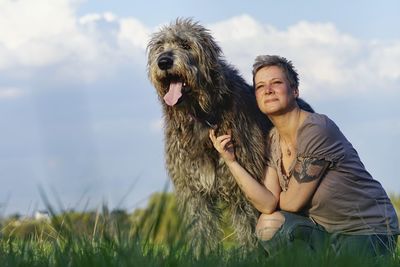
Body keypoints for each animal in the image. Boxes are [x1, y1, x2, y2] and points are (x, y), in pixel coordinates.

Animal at [147, 18, 312, 251]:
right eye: (160, 46)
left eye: (186, 45)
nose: (163, 61)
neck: (202, 115)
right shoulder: (194, 190)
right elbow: (201, 226)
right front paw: (204, 254)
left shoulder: (242, 187)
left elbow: (247, 227)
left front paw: (250, 254)